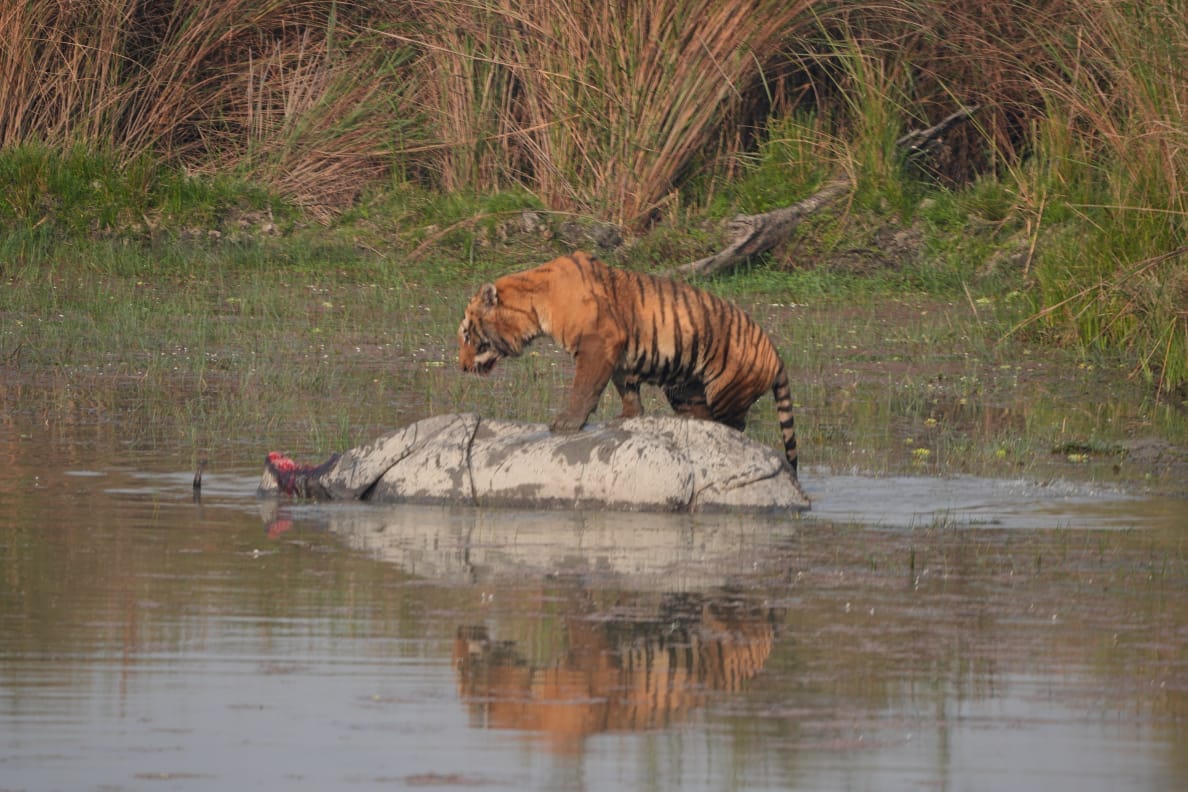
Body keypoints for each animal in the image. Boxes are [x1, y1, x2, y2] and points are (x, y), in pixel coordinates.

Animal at [458, 251, 800, 478]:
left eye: (467, 335)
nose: (461, 367)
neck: (533, 305)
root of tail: (777, 353)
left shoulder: (597, 344)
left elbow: (584, 388)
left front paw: (567, 423)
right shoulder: (619, 355)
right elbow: (627, 389)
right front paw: (629, 416)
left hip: (728, 390)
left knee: (735, 427)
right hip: (685, 391)